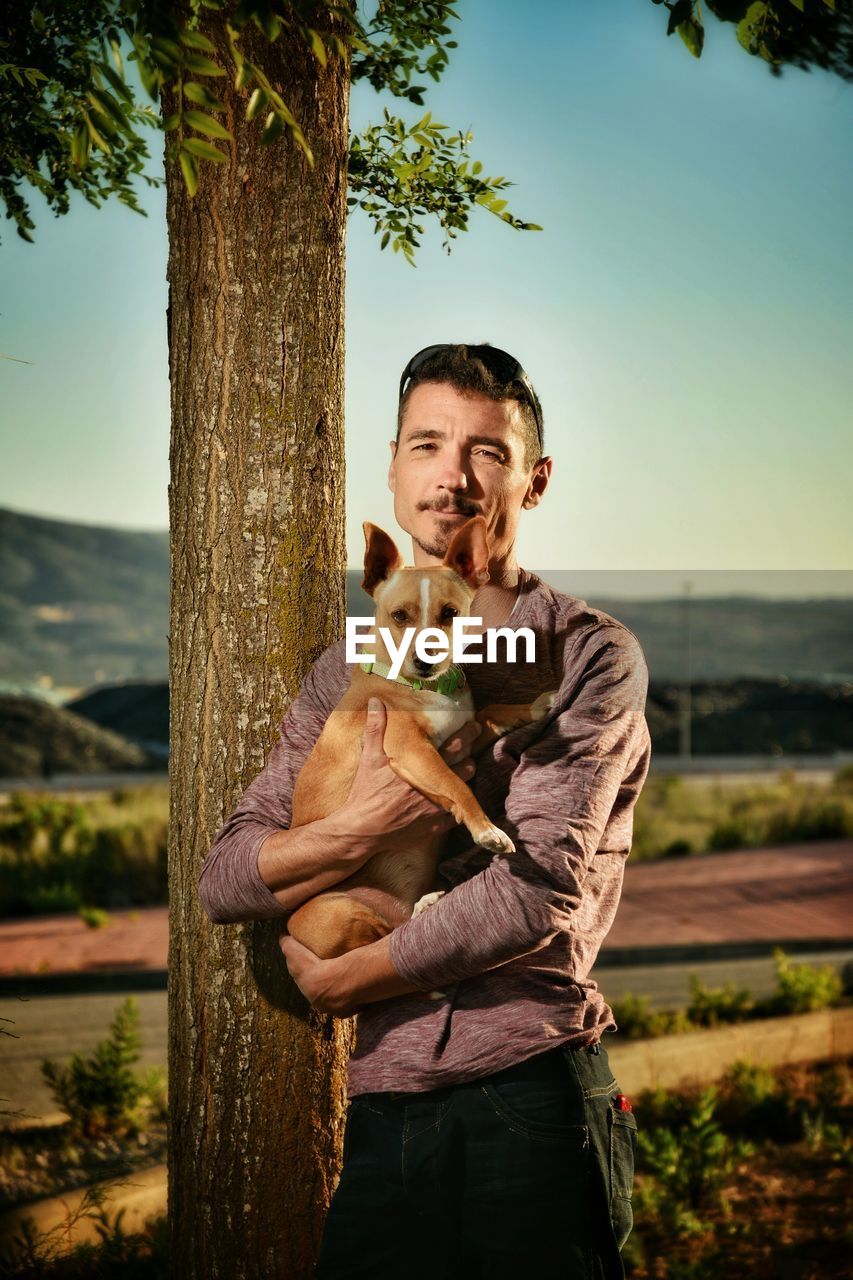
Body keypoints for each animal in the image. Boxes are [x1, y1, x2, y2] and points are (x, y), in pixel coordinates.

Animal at [281, 517, 555, 962]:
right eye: (399, 615)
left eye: (450, 614)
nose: (426, 659)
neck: (425, 688)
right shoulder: (411, 749)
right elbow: (456, 785)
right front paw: (487, 830)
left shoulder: (466, 730)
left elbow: (493, 712)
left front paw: (533, 706)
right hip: (339, 919)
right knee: (379, 943)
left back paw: (425, 903)